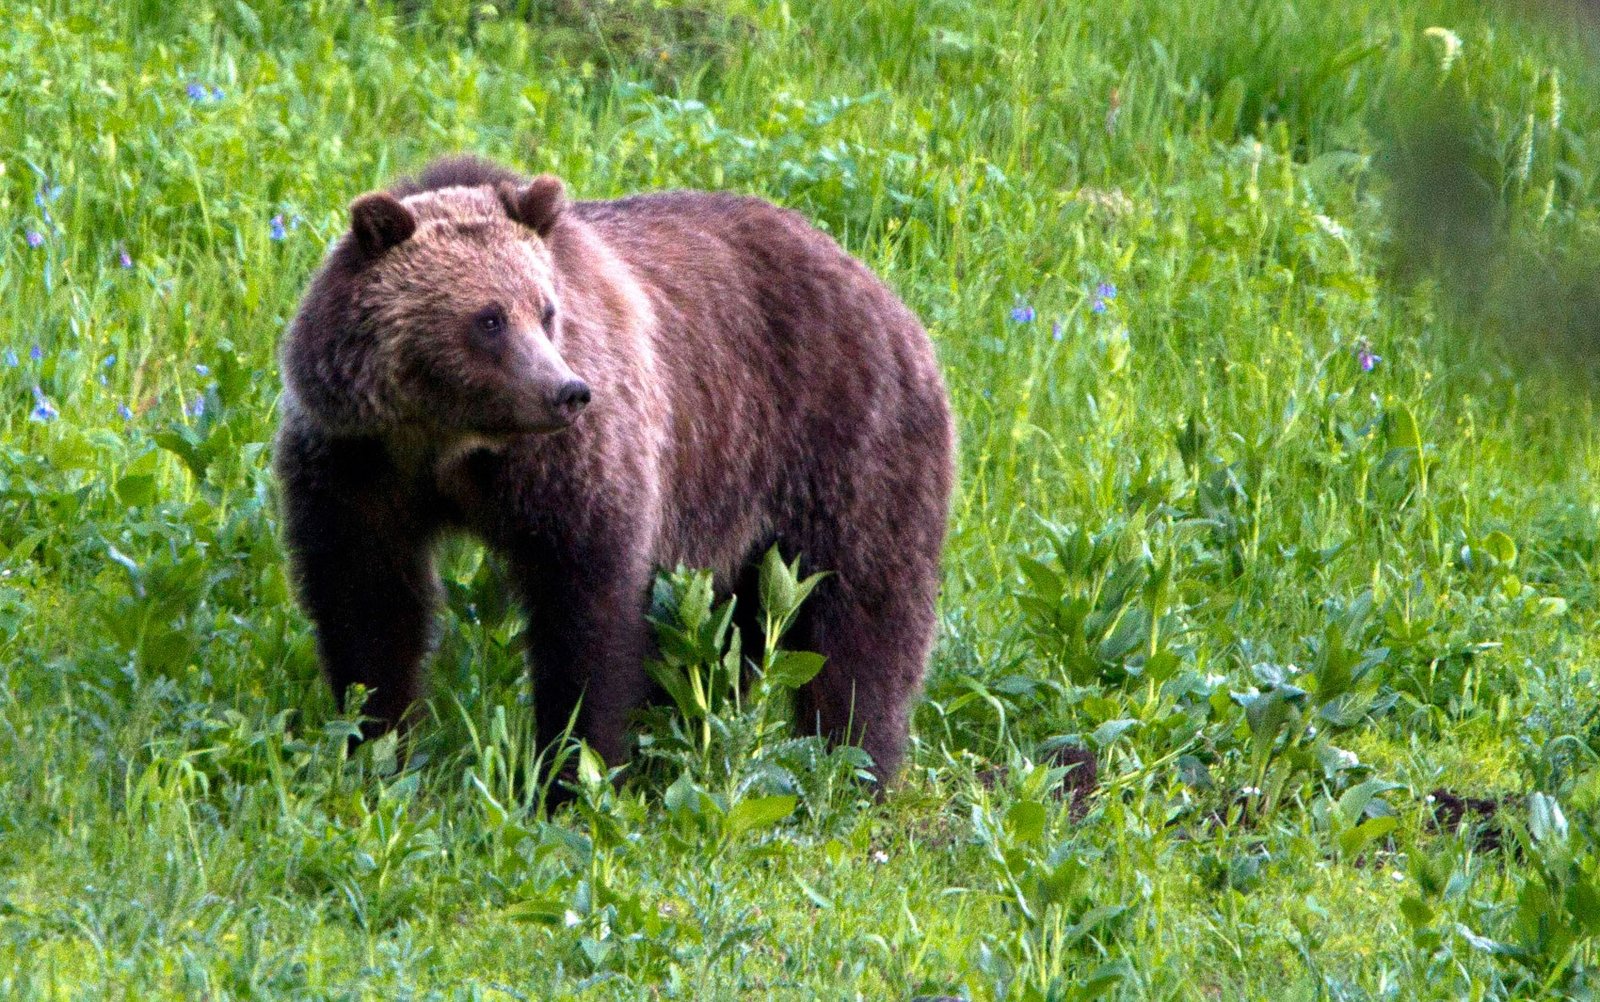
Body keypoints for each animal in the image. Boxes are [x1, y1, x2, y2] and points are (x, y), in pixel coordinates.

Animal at [275, 155, 953, 787]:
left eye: (546, 310)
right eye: (489, 318)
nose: (567, 391)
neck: (449, 443)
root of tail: (881, 288)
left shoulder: (571, 468)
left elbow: (588, 615)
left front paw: (573, 769)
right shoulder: (358, 465)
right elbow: (368, 603)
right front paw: (376, 745)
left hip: (842, 443)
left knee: (862, 613)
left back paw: (854, 764)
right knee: (731, 631)